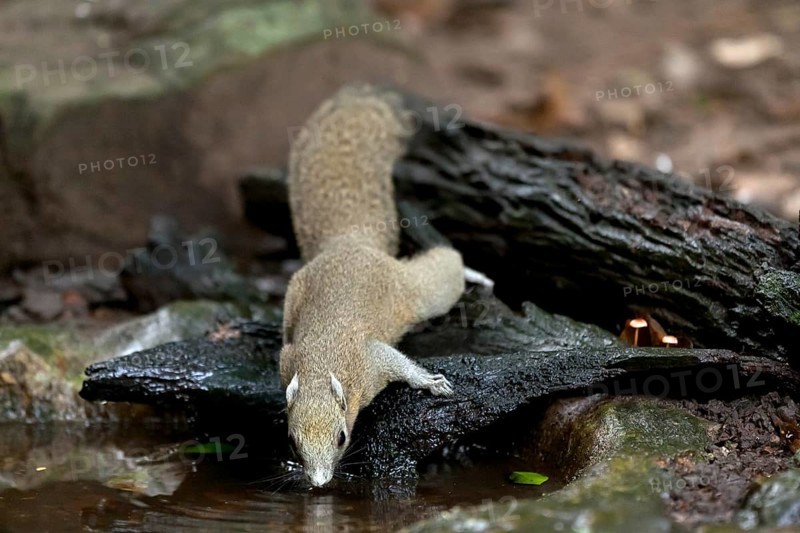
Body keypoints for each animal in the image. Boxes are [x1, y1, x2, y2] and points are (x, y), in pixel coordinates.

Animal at [279, 85, 466, 488]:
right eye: (291, 441)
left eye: (341, 437)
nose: (319, 483)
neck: (321, 363)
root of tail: (350, 241)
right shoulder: (287, 360)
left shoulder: (371, 360)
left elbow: (401, 365)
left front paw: (431, 383)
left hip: (419, 292)